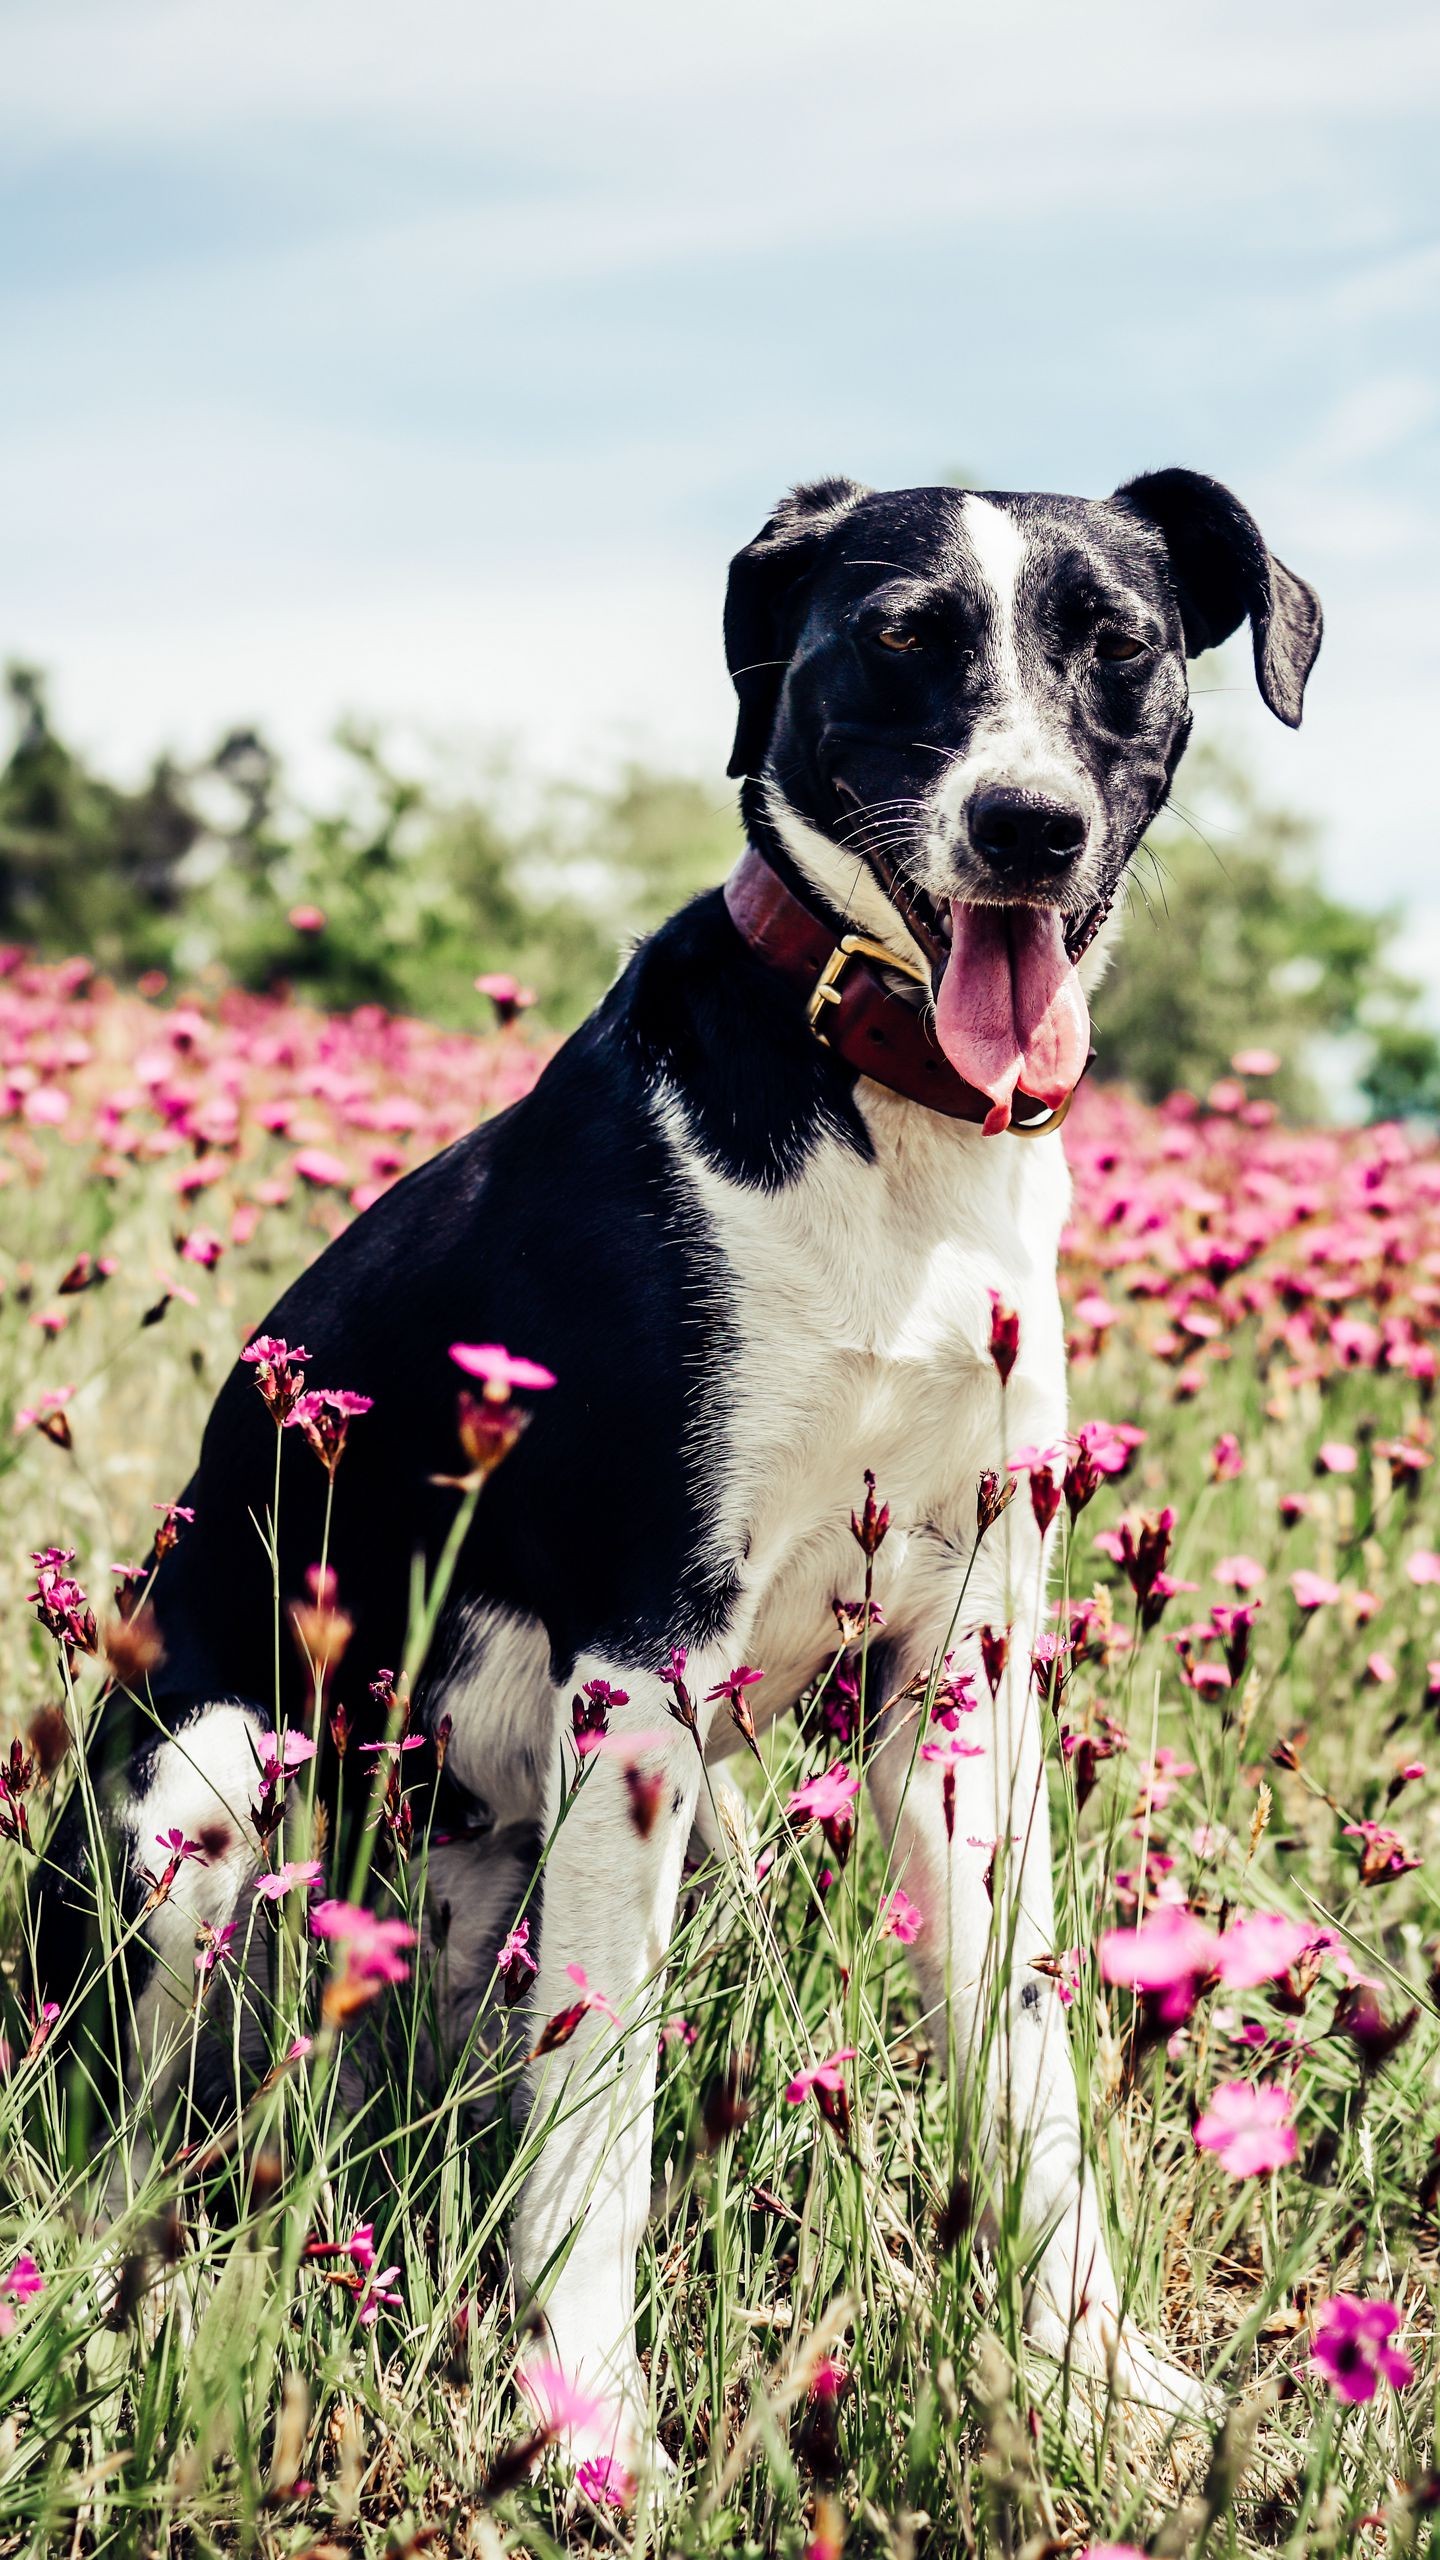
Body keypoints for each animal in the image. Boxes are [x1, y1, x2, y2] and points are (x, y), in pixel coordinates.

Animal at [33, 471, 1311, 2467]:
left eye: (1120, 648)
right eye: (902, 637)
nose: (1026, 825)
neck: (890, 1120)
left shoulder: (955, 1676)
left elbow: (1027, 2065)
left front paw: (1100, 2380)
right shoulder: (640, 1657)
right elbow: (604, 2124)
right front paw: (589, 2425)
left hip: (691, 1831)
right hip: (213, 1795)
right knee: (118, 2136)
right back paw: (103, 2310)